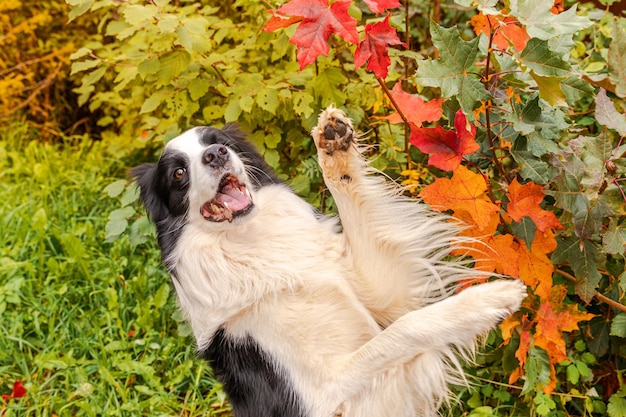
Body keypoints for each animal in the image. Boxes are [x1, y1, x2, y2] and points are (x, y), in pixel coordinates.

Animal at [133, 107, 528, 416]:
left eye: (219, 142)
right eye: (179, 173)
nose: (216, 154)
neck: (252, 242)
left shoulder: (381, 294)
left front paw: (334, 147)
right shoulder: (329, 393)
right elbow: (405, 329)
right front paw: (486, 302)